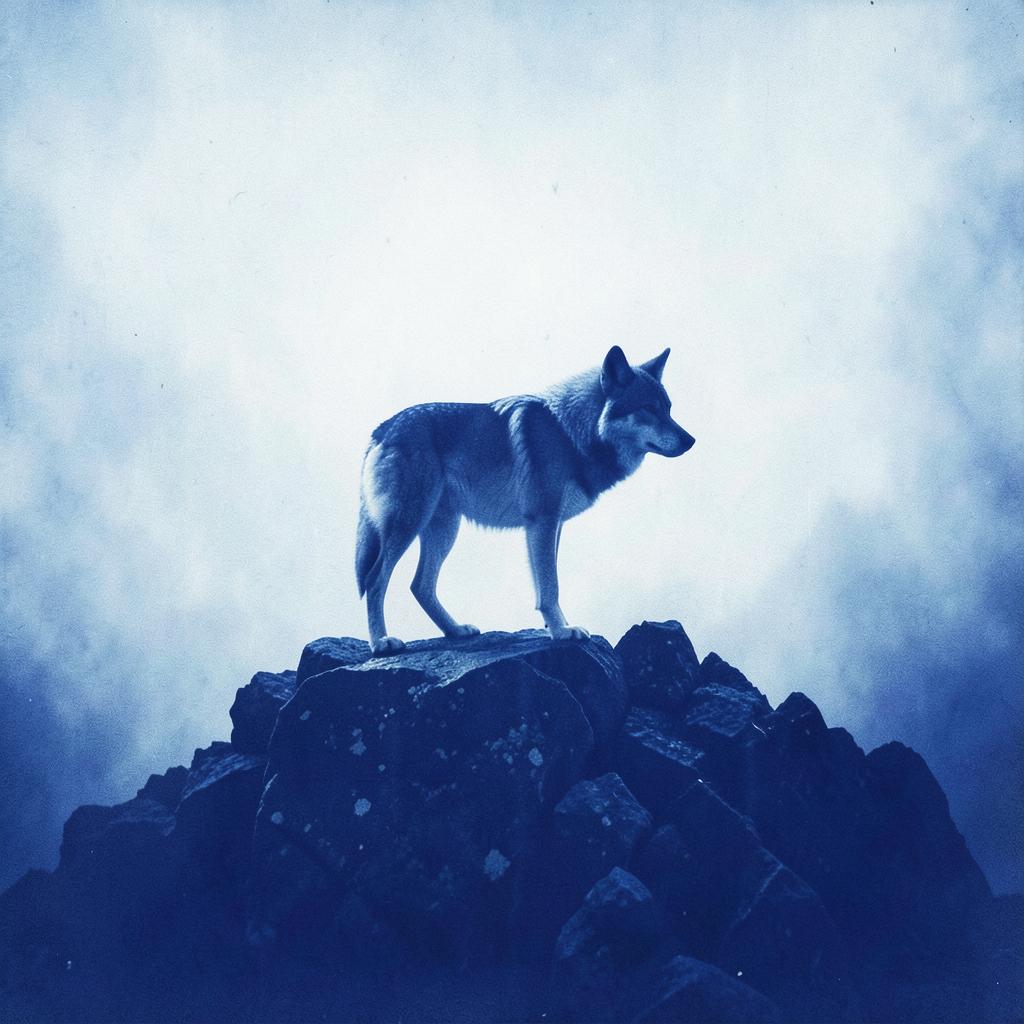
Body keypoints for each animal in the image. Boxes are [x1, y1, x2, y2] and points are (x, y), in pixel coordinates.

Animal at [356, 345, 695, 654]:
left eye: (669, 409)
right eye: (649, 408)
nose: (691, 440)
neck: (570, 433)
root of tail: (381, 430)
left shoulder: (553, 525)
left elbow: (547, 582)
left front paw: (556, 627)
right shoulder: (542, 521)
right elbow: (550, 586)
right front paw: (562, 632)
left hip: (444, 529)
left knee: (420, 585)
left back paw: (456, 630)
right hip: (408, 524)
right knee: (375, 580)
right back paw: (381, 643)